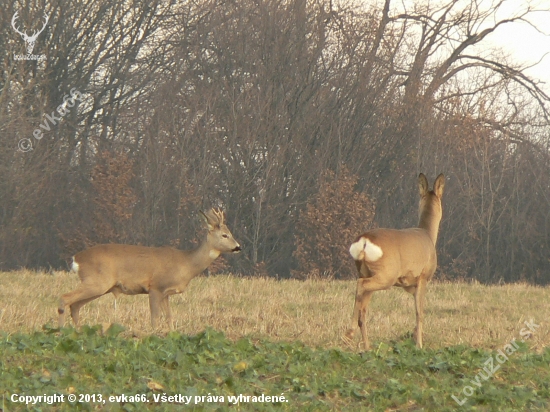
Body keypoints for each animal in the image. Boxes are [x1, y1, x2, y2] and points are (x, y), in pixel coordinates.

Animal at [58, 209, 242, 328]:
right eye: (225, 235)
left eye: (231, 233)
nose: (238, 247)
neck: (186, 264)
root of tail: (76, 258)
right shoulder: (155, 287)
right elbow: (155, 318)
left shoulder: (166, 293)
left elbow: (169, 318)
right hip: (97, 281)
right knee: (65, 298)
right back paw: (61, 331)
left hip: (100, 286)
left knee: (75, 306)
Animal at [348, 172, 446, 350]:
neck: (428, 235)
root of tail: (364, 240)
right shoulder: (423, 277)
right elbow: (419, 312)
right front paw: (419, 345)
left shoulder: (408, 284)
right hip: (386, 274)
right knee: (361, 286)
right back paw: (349, 332)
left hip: (366, 270)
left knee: (363, 309)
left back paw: (366, 347)